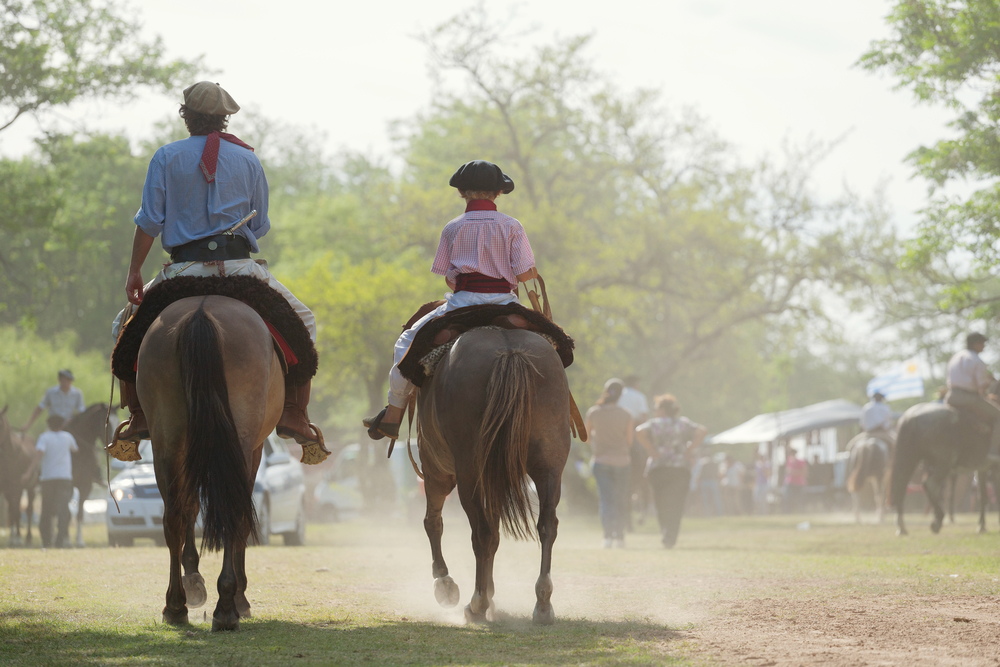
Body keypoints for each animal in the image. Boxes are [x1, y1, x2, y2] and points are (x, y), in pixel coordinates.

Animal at [0, 408, 37, 548]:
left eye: (2, 424)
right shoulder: (6, 489)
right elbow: (12, 510)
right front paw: (13, 538)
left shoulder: (16, 486)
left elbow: (16, 510)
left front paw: (17, 539)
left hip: (30, 488)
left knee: (28, 510)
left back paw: (27, 538)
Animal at [63, 404, 117, 544]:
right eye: (107, 423)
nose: (112, 447)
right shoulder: (68, 486)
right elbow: (67, 512)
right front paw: (66, 539)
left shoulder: (86, 485)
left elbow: (80, 513)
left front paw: (79, 540)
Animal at [135, 298, 284, 632]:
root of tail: (201, 311)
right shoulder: (253, 451)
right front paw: (238, 597)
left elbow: (190, 508)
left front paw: (193, 580)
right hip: (237, 440)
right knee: (231, 512)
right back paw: (227, 607)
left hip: (167, 439)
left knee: (174, 517)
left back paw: (175, 606)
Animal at [414, 328, 572, 628]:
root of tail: (510, 352)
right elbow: (497, 532)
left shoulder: (436, 468)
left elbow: (433, 522)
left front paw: (446, 585)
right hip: (550, 464)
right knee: (547, 525)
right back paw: (543, 603)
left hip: (466, 472)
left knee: (481, 532)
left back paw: (476, 603)